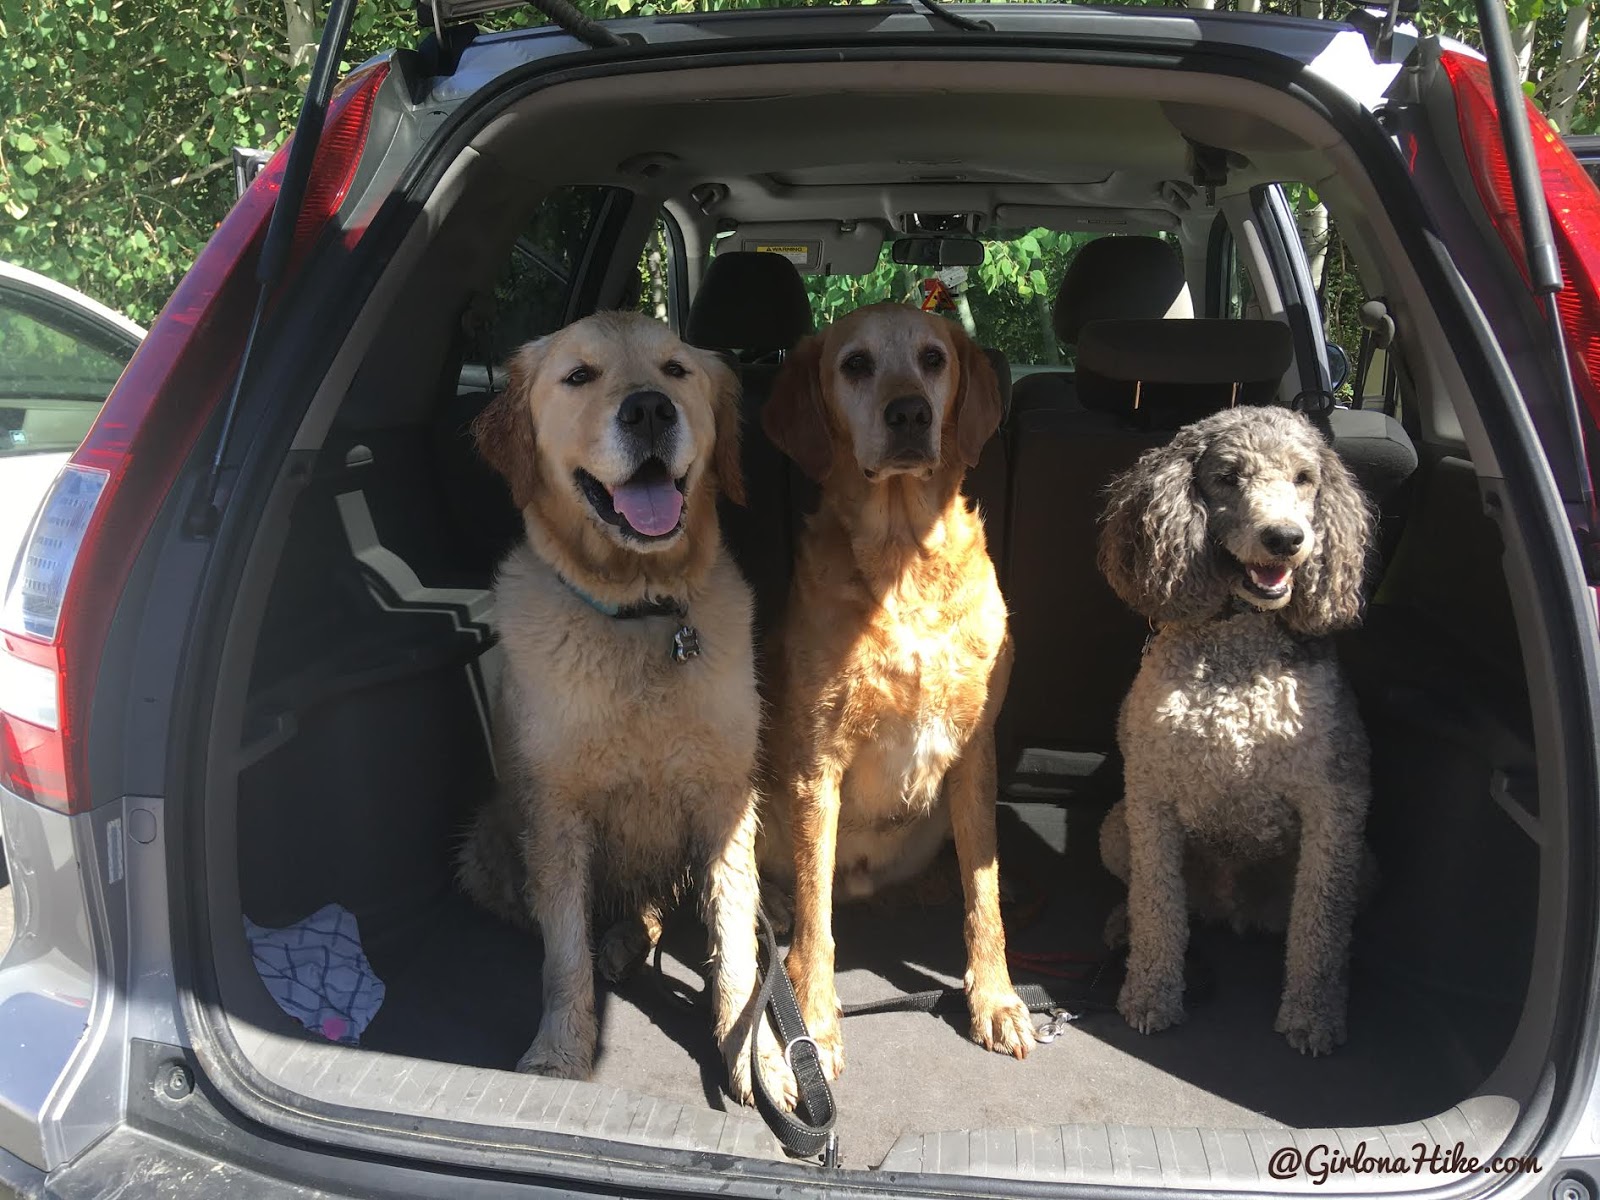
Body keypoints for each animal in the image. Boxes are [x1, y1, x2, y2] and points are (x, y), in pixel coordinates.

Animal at [457, 307, 793, 1107]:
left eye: (676, 369)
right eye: (579, 375)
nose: (648, 410)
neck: (642, 616)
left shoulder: (725, 797)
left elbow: (738, 945)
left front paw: (756, 1055)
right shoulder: (557, 808)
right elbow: (563, 951)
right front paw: (560, 1053)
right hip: (485, 845)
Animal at [755, 302, 1030, 1081]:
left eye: (934, 358)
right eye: (855, 364)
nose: (910, 413)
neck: (906, 559)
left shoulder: (975, 752)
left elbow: (985, 894)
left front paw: (994, 996)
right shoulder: (818, 763)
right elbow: (817, 915)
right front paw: (814, 1016)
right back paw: (776, 908)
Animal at [1100, 409, 1376, 1056]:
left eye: (1305, 479)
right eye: (1228, 478)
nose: (1286, 538)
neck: (1238, 654)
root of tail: (1231, 907)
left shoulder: (1336, 806)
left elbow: (1321, 929)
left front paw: (1313, 1015)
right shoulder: (1150, 796)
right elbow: (1158, 907)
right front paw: (1150, 994)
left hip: (1367, 865)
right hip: (1115, 828)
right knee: (1150, 897)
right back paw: (1122, 926)